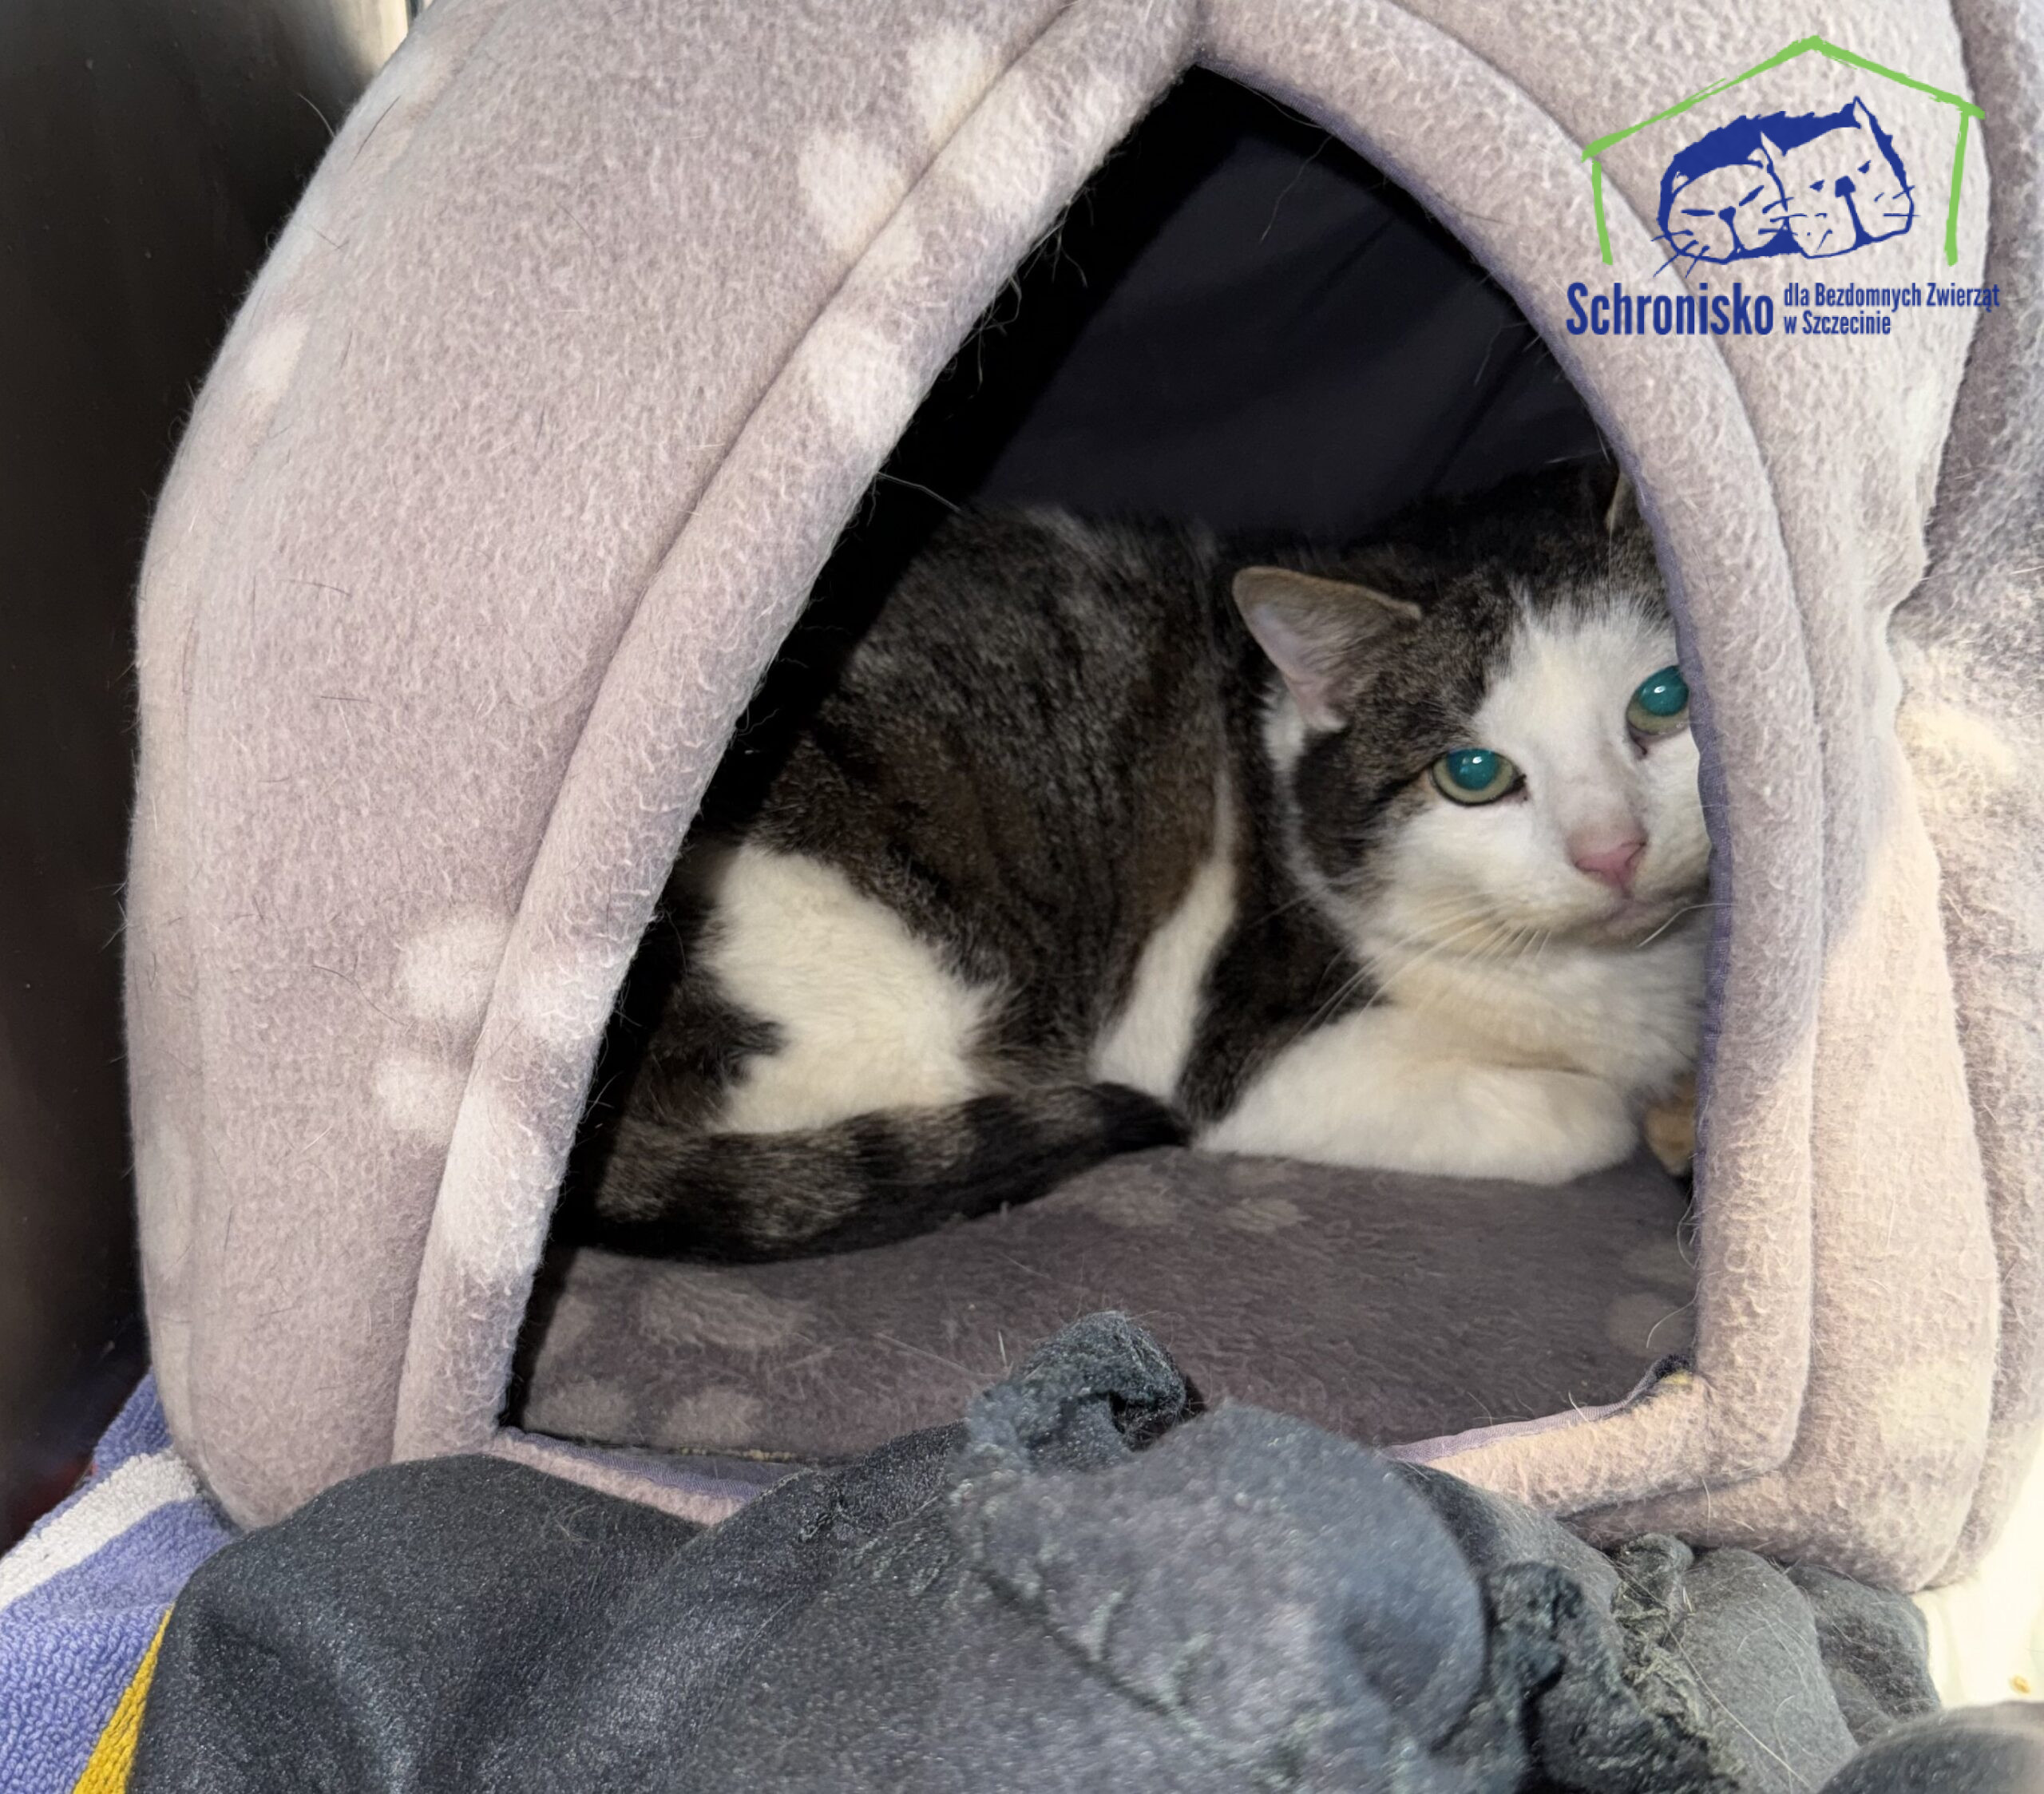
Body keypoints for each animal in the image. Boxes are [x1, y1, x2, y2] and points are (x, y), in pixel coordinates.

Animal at [562, 465, 1710, 1263]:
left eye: (1663, 702)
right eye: (1474, 773)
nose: (1612, 849)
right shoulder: (1245, 1058)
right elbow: (1575, 1115)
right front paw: (1612, 1111)